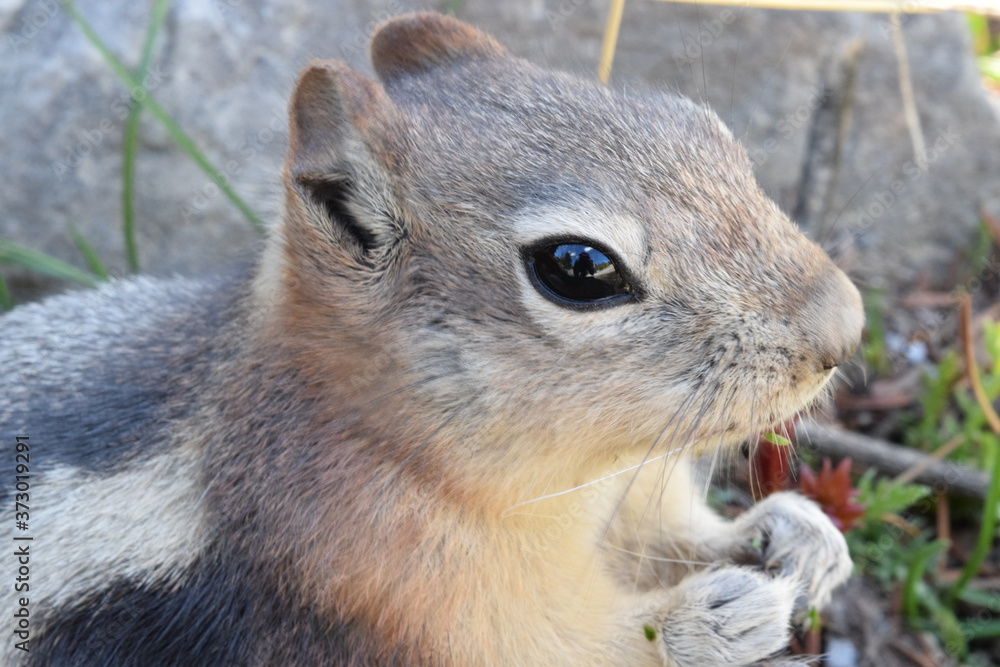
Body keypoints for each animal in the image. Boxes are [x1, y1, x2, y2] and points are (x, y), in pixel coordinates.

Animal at [0, 12, 863, 666]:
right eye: (577, 267)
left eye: (704, 127)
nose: (845, 326)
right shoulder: (402, 606)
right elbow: (567, 650)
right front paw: (700, 621)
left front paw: (792, 532)